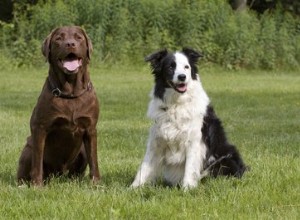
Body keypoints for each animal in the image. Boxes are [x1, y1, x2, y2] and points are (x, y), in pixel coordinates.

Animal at [17, 26, 101, 186]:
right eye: (58, 39)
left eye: (78, 37)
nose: (70, 44)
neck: (70, 93)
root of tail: (58, 175)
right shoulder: (40, 128)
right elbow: (37, 162)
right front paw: (37, 185)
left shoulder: (90, 129)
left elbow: (94, 160)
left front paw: (96, 184)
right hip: (28, 147)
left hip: (81, 151)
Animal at [131, 47, 246, 189]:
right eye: (170, 67)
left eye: (186, 67)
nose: (182, 77)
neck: (177, 104)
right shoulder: (156, 141)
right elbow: (144, 168)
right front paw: (133, 188)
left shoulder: (194, 141)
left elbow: (190, 168)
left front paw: (187, 189)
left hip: (226, 155)